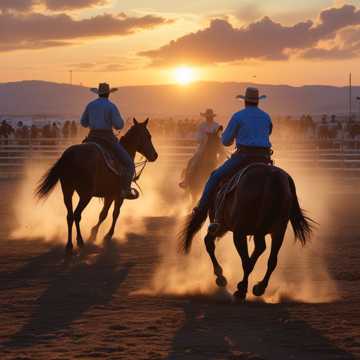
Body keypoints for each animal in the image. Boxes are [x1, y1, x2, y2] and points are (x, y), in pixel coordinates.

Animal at [36, 119, 158, 253]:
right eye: (148, 136)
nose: (155, 155)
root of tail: (69, 156)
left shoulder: (108, 195)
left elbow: (103, 214)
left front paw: (95, 233)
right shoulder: (117, 196)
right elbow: (112, 214)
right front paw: (104, 234)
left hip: (67, 191)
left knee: (69, 216)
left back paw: (69, 244)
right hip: (85, 195)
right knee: (77, 215)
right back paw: (80, 241)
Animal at [180, 165, 316, 300]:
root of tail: (272, 178)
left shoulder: (230, 229)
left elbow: (210, 243)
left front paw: (221, 277)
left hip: (239, 231)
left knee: (248, 258)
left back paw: (242, 289)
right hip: (277, 231)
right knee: (270, 259)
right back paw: (259, 287)